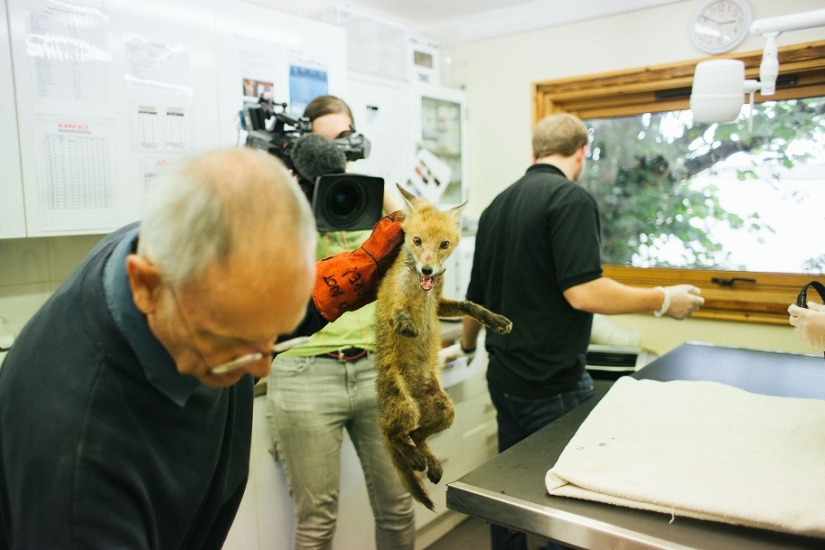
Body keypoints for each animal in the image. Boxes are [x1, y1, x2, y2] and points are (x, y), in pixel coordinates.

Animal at [374, 184, 513, 511]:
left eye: (444, 244)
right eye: (416, 240)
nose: (427, 269)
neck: (422, 289)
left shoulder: (439, 303)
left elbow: (470, 304)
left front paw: (495, 320)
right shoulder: (393, 297)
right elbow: (397, 310)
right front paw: (407, 325)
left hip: (444, 411)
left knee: (416, 436)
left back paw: (430, 462)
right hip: (405, 408)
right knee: (393, 434)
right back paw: (414, 458)